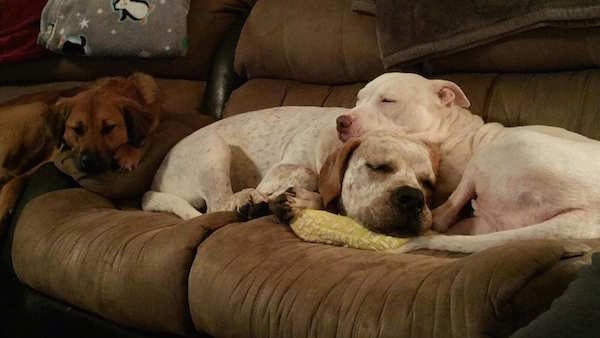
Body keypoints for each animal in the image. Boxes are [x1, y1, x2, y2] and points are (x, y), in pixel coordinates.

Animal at [0, 73, 162, 231]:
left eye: (109, 128)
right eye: (77, 129)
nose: (89, 162)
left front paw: (127, 153)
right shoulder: (50, 157)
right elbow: (16, 180)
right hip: (37, 110)